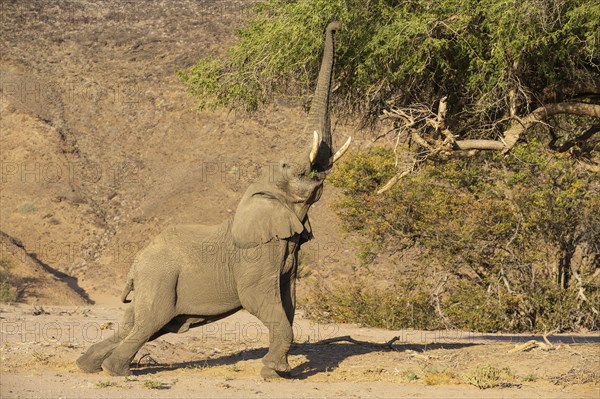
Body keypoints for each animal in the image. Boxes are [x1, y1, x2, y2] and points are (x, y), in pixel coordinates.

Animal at [75, 20, 350, 380]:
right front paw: (274, 372)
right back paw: (115, 371)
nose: (334, 24)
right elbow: (260, 300)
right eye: (288, 168)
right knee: (149, 323)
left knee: (136, 323)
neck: (258, 192)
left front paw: (279, 370)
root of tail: (134, 266)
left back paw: (88, 365)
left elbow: (288, 303)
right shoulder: (255, 254)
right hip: (160, 280)